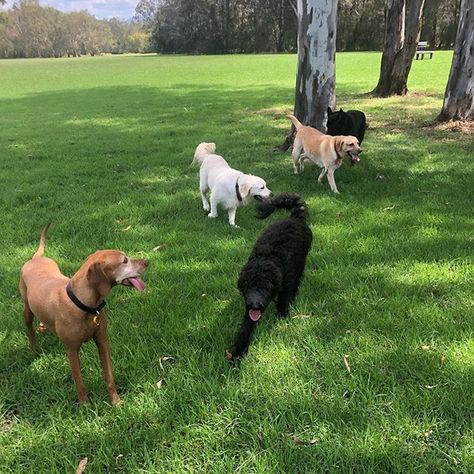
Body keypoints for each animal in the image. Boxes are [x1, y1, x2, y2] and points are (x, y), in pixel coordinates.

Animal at [19, 225, 148, 404]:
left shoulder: (102, 342)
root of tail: (37, 258)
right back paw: (31, 351)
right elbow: (79, 383)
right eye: (124, 261)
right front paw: (85, 405)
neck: (85, 305)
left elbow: (109, 377)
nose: (147, 261)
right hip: (27, 311)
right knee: (30, 332)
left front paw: (116, 402)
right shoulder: (72, 350)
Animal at [227, 193, 312, 360]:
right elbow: (246, 328)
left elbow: (284, 301)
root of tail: (295, 217)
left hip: (301, 264)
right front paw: (238, 353)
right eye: (248, 286)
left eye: (266, 287)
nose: (255, 305)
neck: (268, 257)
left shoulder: (286, 284)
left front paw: (283, 316)